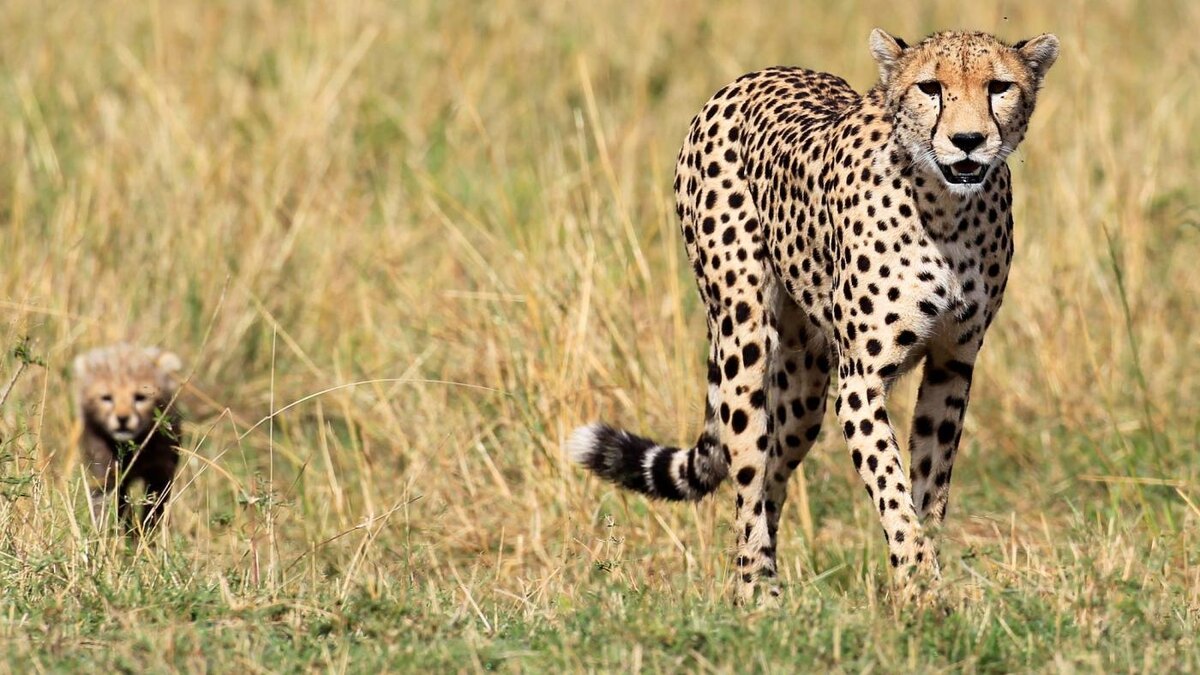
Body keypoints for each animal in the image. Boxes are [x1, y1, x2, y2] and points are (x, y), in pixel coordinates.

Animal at [74, 343, 185, 532]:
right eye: (106, 398)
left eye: (140, 397)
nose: (122, 418)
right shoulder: (105, 472)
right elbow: (104, 505)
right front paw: (104, 532)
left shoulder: (161, 472)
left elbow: (153, 508)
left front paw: (147, 533)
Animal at [567, 29, 1059, 604]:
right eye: (930, 88)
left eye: (999, 87)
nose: (967, 140)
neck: (947, 208)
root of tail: (753, 76)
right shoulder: (861, 381)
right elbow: (893, 492)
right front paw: (919, 588)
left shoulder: (952, 365)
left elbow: (928, 491)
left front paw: (928, 585)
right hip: (743, 339)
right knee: (748, 475)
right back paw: (757, 595)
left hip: (805, 386)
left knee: (774, 471)